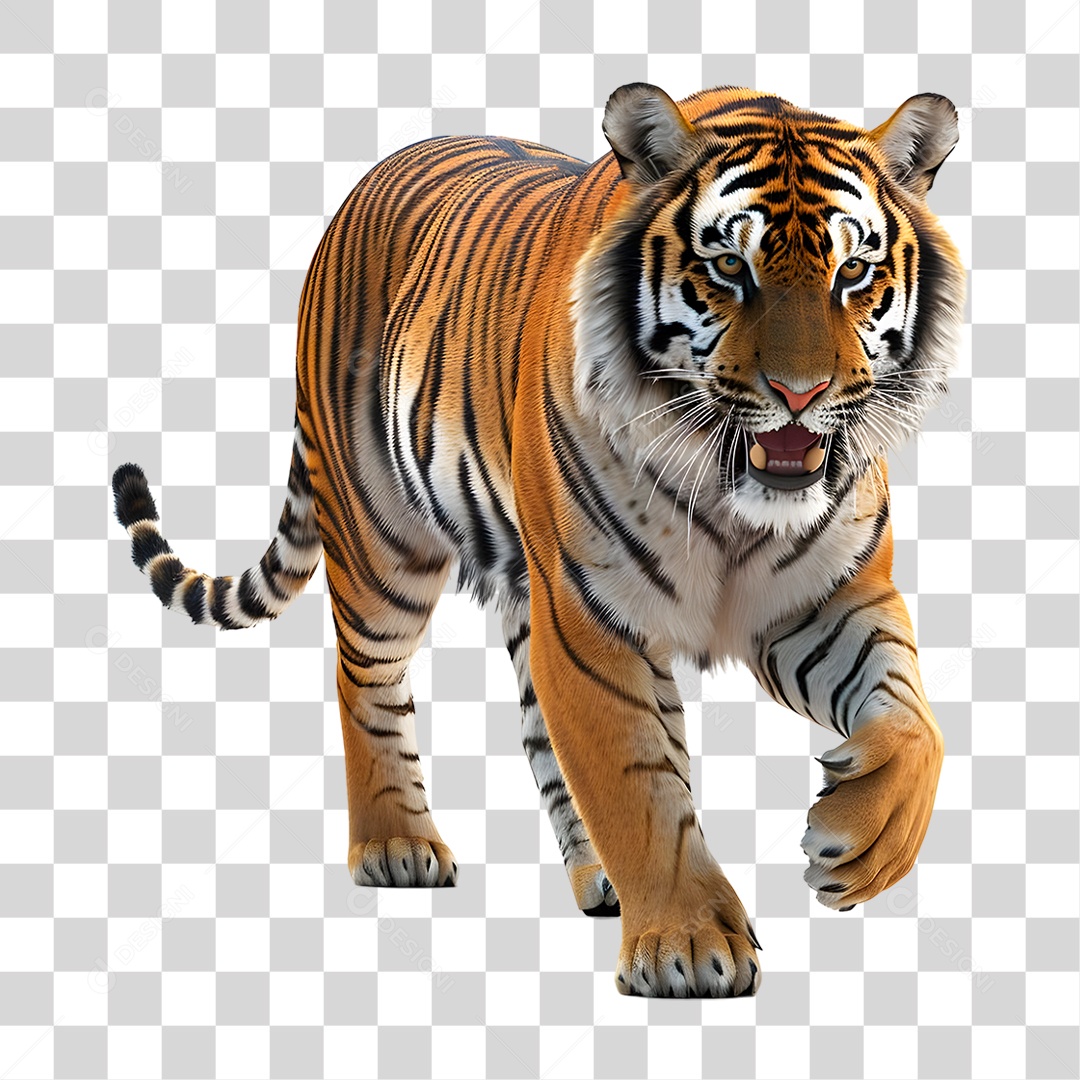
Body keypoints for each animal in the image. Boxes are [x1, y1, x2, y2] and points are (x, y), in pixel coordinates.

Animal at [113, 83, 965, 998]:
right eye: (730, 269)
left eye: (853, 272)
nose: (800, 394)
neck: (734, 497)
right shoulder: (592, 618)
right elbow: (637, 782)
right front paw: (689, 943)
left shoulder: (829, 599)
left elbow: (914, 722)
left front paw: (859, 840)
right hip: (385, 543)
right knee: (363, 680)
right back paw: (396, 844)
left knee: (535, 734)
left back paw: (598, 880)